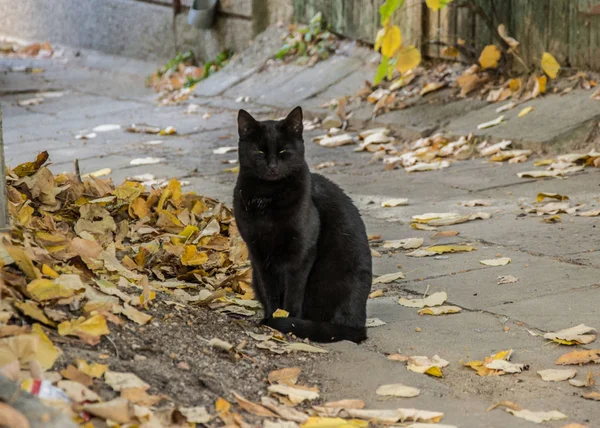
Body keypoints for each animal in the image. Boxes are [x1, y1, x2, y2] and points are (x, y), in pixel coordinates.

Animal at [233, 107, 370, 344]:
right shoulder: (258, 253)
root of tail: (358, 326)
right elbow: (270, 291)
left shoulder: (301, 253)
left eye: (283, 151)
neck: (268, 198)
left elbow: (293, 293)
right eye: (259, 152)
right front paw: (271, 317)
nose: (272, 167)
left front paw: (286, 321)